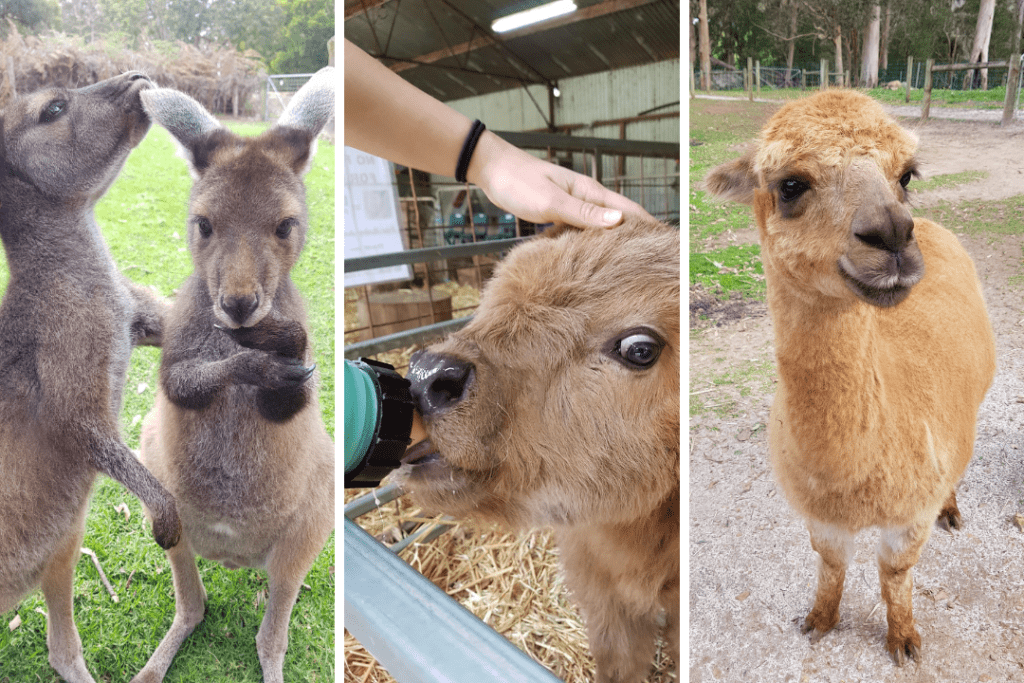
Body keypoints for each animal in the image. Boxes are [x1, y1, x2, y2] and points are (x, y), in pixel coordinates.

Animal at [0, 73, 181, 683]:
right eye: (53, 108)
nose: (139, 79)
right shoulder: (70, 389)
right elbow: (86, 431)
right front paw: (166, 521)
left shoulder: (134, 317)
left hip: (62, 542)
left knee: (62, 647)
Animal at [127, 65, 335, 683]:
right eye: (203, 225)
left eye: (286, 227)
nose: (239, 304)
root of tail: (232, 555)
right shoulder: (179, 347)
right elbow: (181, 382)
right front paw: (246, 356)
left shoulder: (298, 378)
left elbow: (289, 388)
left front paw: (269, 349)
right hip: (165, 505)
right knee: (193, 606)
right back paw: (153, 666)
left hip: (308, 524)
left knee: (271, 635)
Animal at [708, 89, 995, 663]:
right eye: (790, 184)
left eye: (906, 174)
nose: (893, 234)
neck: (851, 478)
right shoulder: (819, 512)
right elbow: (830, 562)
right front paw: (820, 619)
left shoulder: (909, 512)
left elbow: (896, 572)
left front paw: (903, 638)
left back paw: (952, 509)